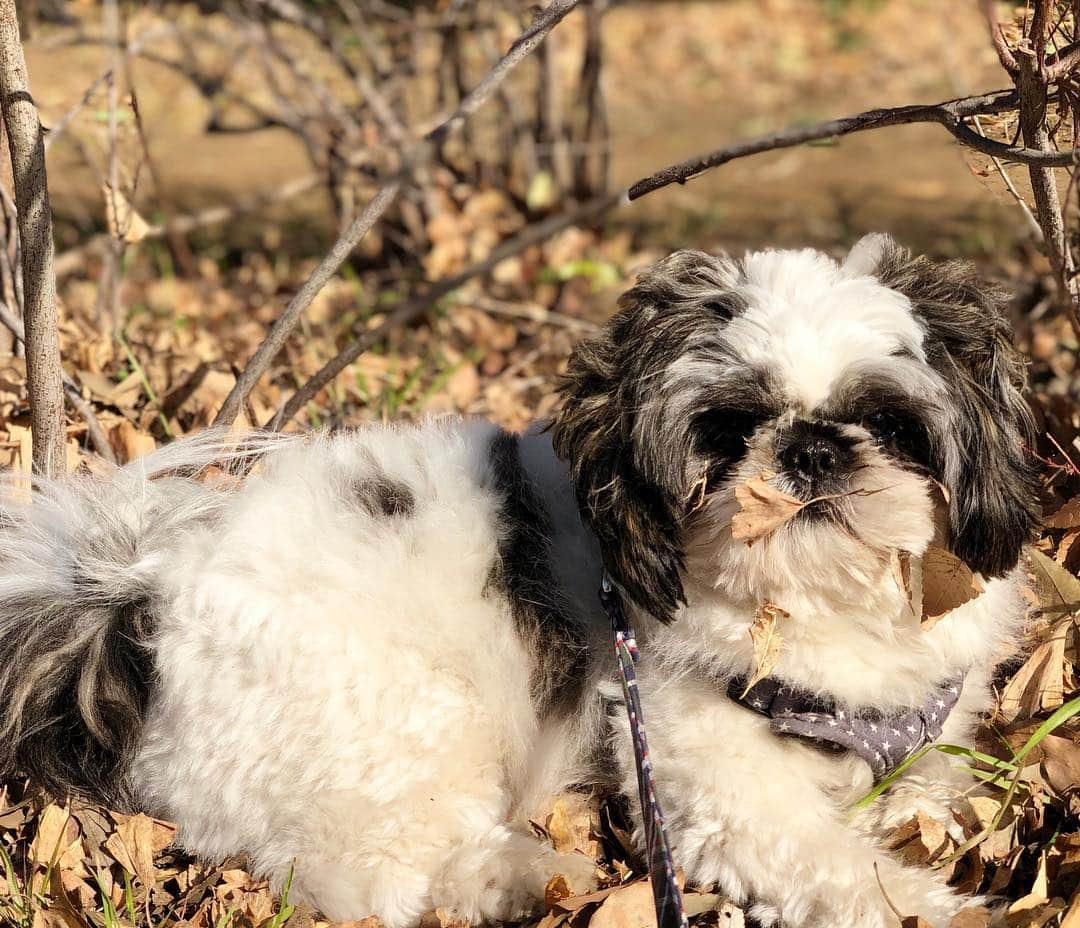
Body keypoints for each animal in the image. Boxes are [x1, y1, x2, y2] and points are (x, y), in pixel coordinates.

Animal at [0, 235, 1036, 928]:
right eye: (728, 431)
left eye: (891, 425)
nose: (812, 449)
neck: (816, 612)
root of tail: (145, 599)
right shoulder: (712, 773)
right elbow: (831, 861)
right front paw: (931, 904)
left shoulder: (920, 726)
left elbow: (928, 782)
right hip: (403, 710)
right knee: (374, 874)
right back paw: (521, 880)